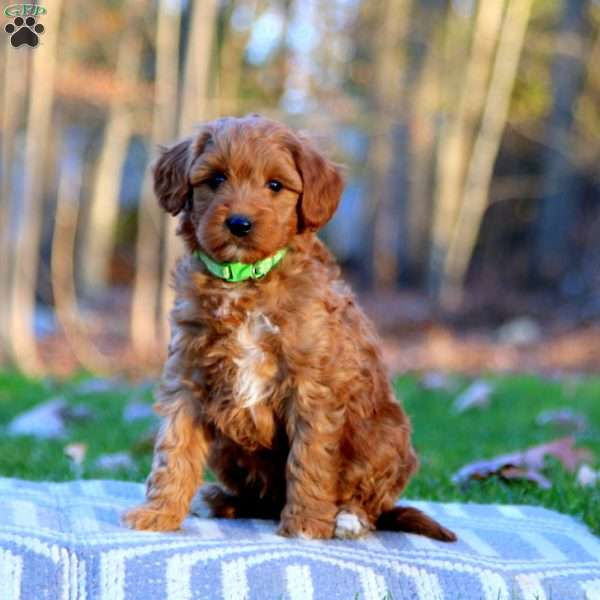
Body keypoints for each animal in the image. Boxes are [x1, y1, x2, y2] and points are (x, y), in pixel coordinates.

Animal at [125, 115, 454, 540]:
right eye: (216, 179)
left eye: (275, 185)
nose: (239, 224)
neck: (244, 280)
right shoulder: (188, 376)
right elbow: (173, 447)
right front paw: (159, 513)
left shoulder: (312, 384)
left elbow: (310, 457)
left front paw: (305, 525)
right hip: (228, 449)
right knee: (262, 499)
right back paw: (218, 500)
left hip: (383, 437)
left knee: (370, 503)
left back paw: (347, 518)